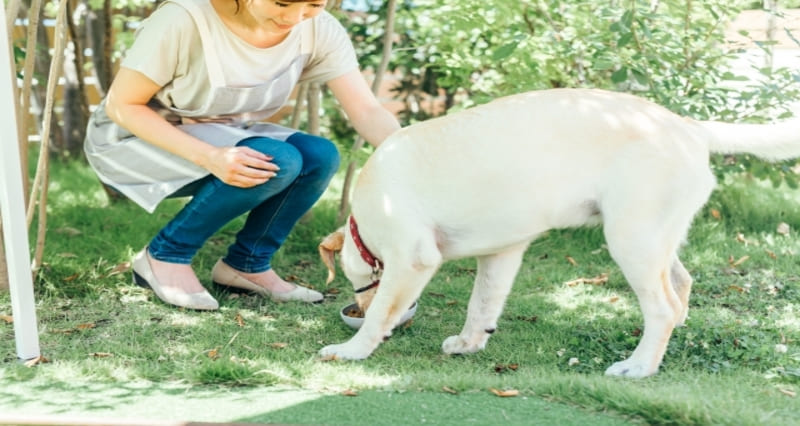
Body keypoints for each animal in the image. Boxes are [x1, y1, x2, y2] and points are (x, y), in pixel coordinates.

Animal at [316, 88, 796, 378]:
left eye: (363, 282)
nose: (355, 308)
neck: (365, 217)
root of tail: (687, 125)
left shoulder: (414, 258)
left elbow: (383, 312)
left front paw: (354, 348)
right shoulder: (502, 253)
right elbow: (482, 303)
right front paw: (471, 342)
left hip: (631, 239)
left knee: (662, 307)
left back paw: (639, 366)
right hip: (654, 236)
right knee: (681, 286)